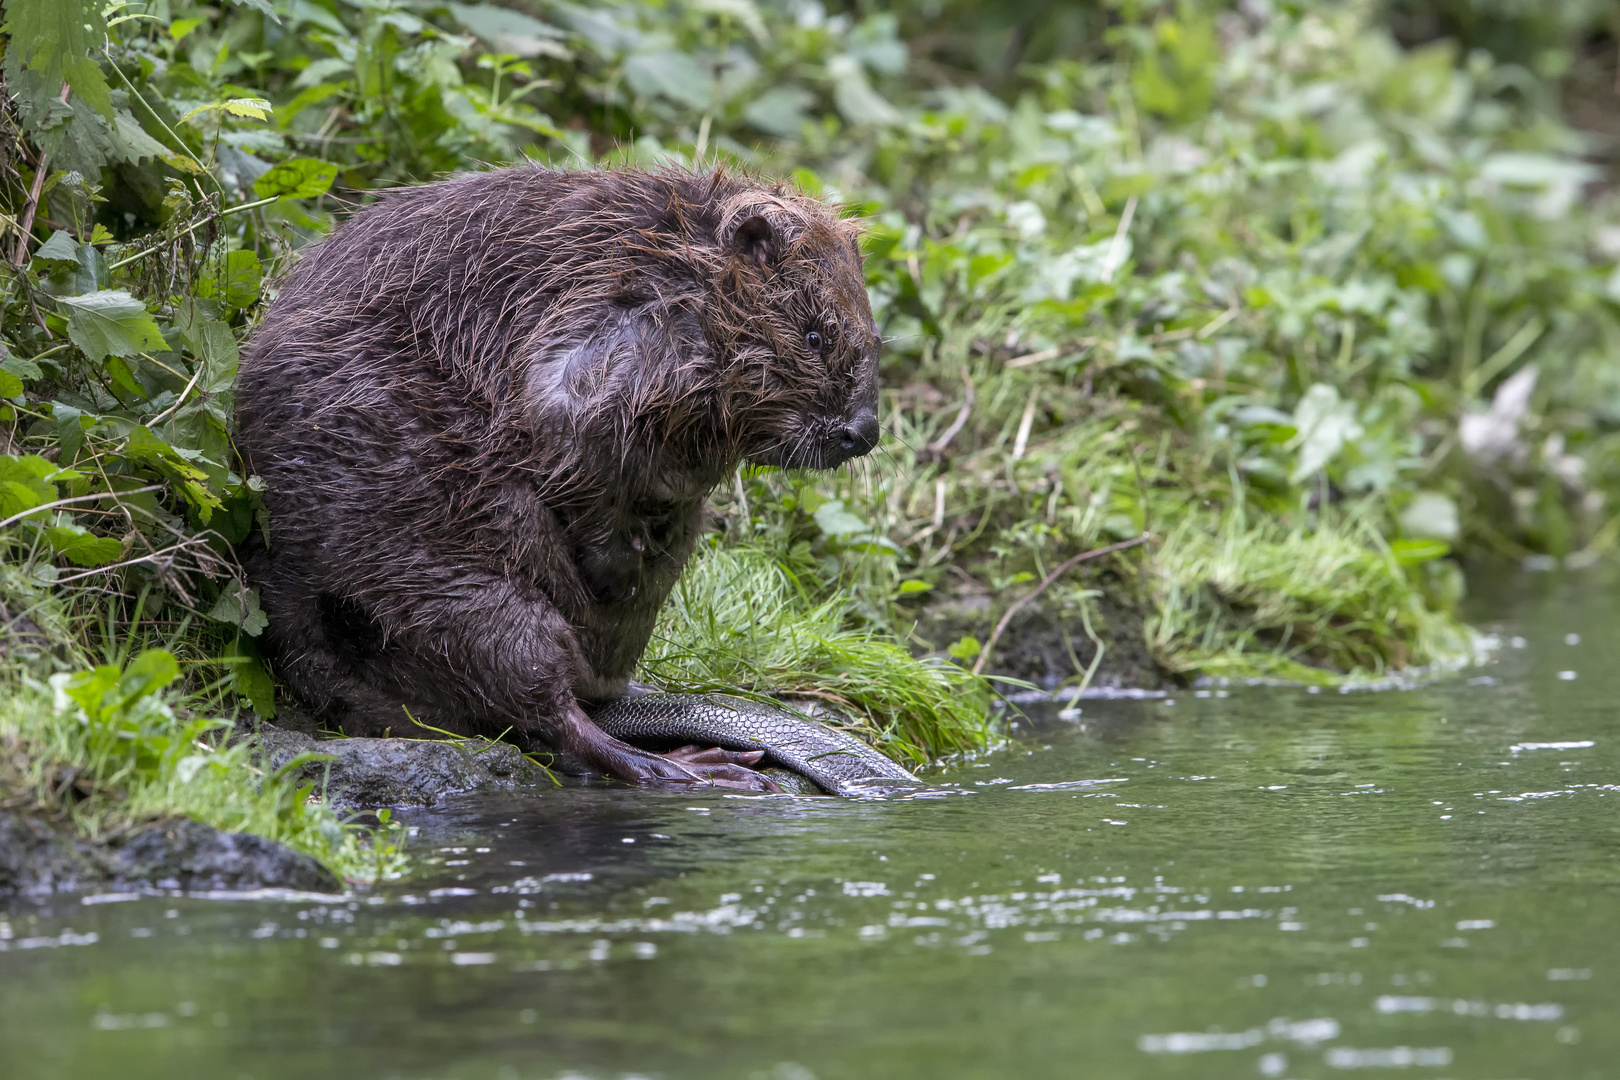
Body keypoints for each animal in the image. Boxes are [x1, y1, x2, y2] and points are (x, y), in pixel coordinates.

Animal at [234, 166, 881, 793]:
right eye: (816, 336)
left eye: (874, 341)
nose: (864, 431)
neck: (686, 261)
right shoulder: (628, 326)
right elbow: (566, 419)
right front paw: (614, 568)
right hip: (429, 558)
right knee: (541, 696)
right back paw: (690, 766)